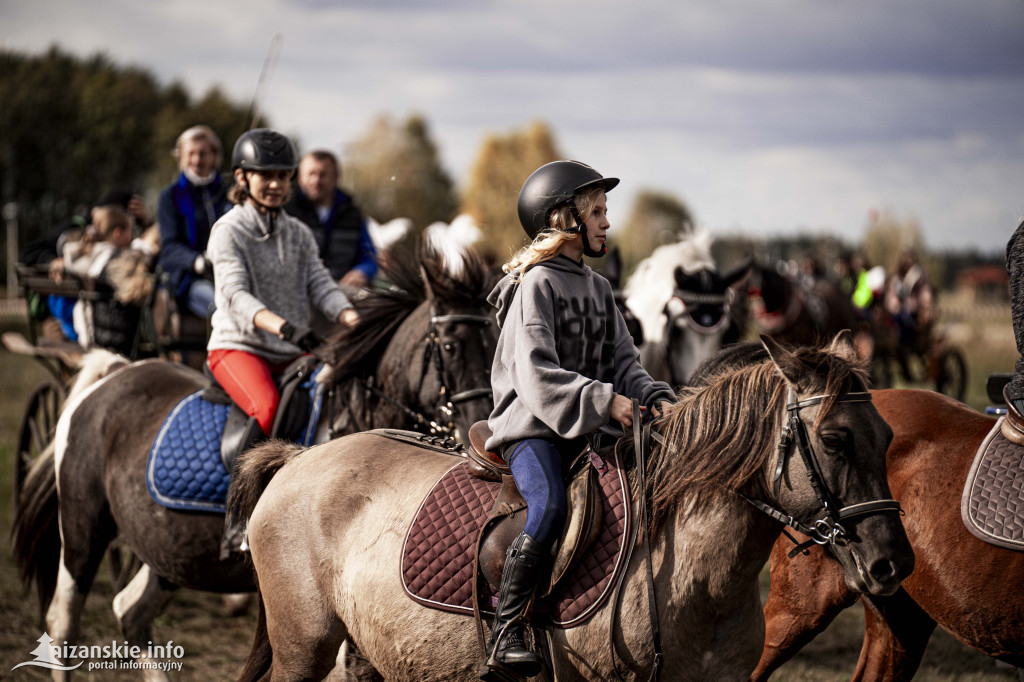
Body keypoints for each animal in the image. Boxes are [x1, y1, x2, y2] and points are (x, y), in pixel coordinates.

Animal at [12, 246, 497, 675]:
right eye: (450, 347)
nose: (481, 426)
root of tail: (115, 371)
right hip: (84, 530)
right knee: (63, 623)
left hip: (170, 552)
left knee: (131, 613)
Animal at [230, 333, 913, 679]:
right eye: (834, 439)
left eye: (887, 435)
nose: (894, 564)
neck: (697, 579)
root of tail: (297, 460)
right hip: (303, 648)